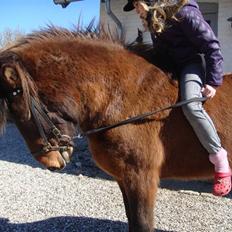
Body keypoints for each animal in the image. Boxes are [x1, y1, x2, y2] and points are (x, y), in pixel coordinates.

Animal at [0, 26, 231, 230]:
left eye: (23, 113)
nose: (51, 162)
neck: (120, 98)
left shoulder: (142, 178)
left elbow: (142, 224)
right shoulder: (123, 178)